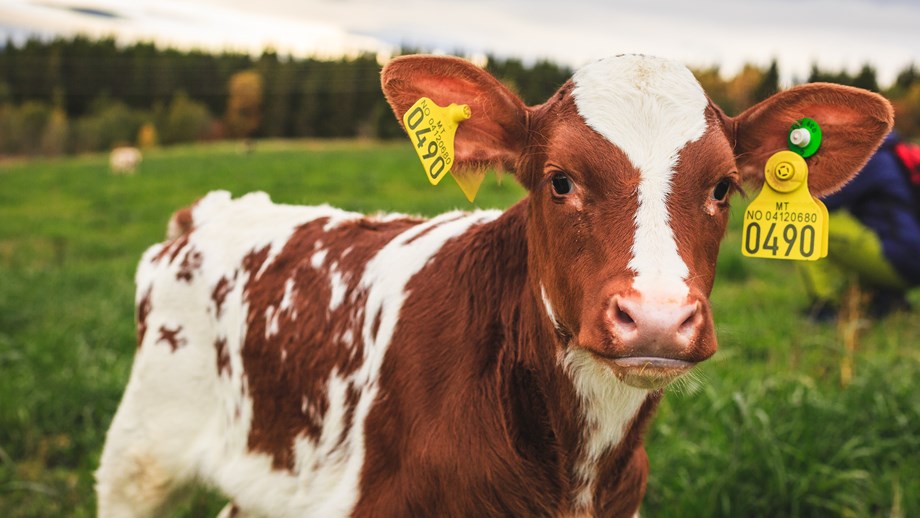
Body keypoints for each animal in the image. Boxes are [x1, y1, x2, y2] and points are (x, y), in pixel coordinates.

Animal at [95, 54, 892, 516]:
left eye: (723, 186)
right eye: (559, 180)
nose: (659, 317)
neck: (573, 474)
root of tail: (212, 209)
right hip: (138, 457)